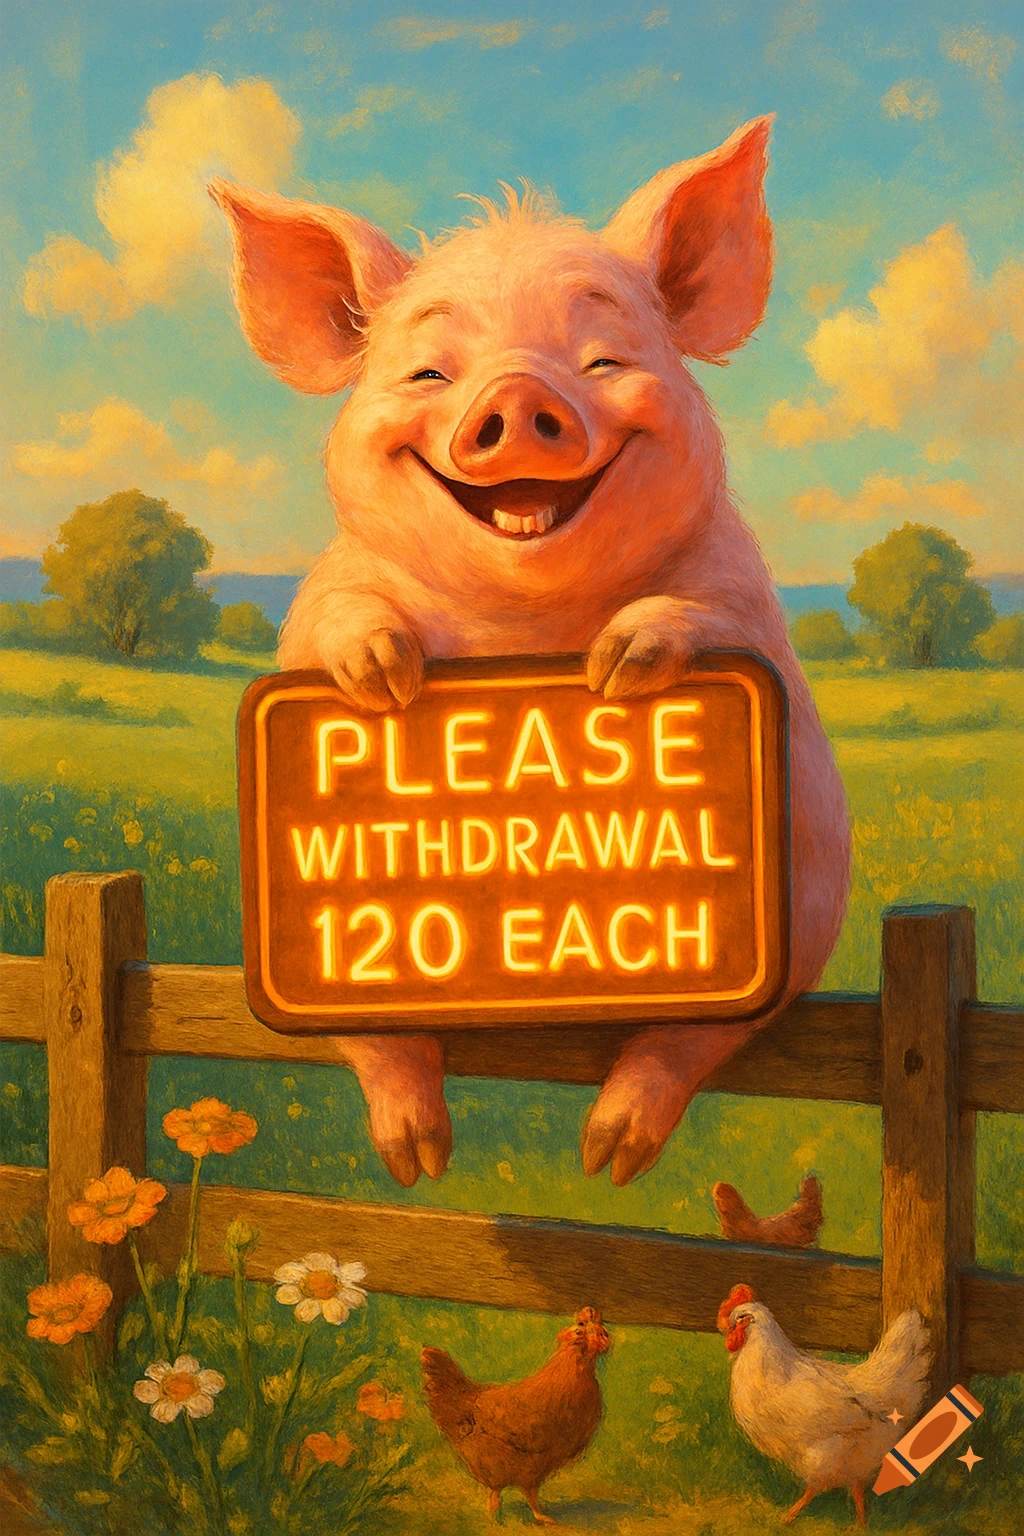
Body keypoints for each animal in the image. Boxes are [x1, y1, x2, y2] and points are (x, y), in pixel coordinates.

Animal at [212, 116, 850, 1189]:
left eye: (602, 362)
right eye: (430, 373)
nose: (513, 394)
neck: (519, 630)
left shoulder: (739, 592)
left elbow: (702, 611)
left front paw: (619, 667)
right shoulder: (323, 590)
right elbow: (340, 616)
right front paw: (384, 680)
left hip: (798, 919)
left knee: (686, 1039)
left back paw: (606, 1162)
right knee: (382, 1040)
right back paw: (419, 1166)